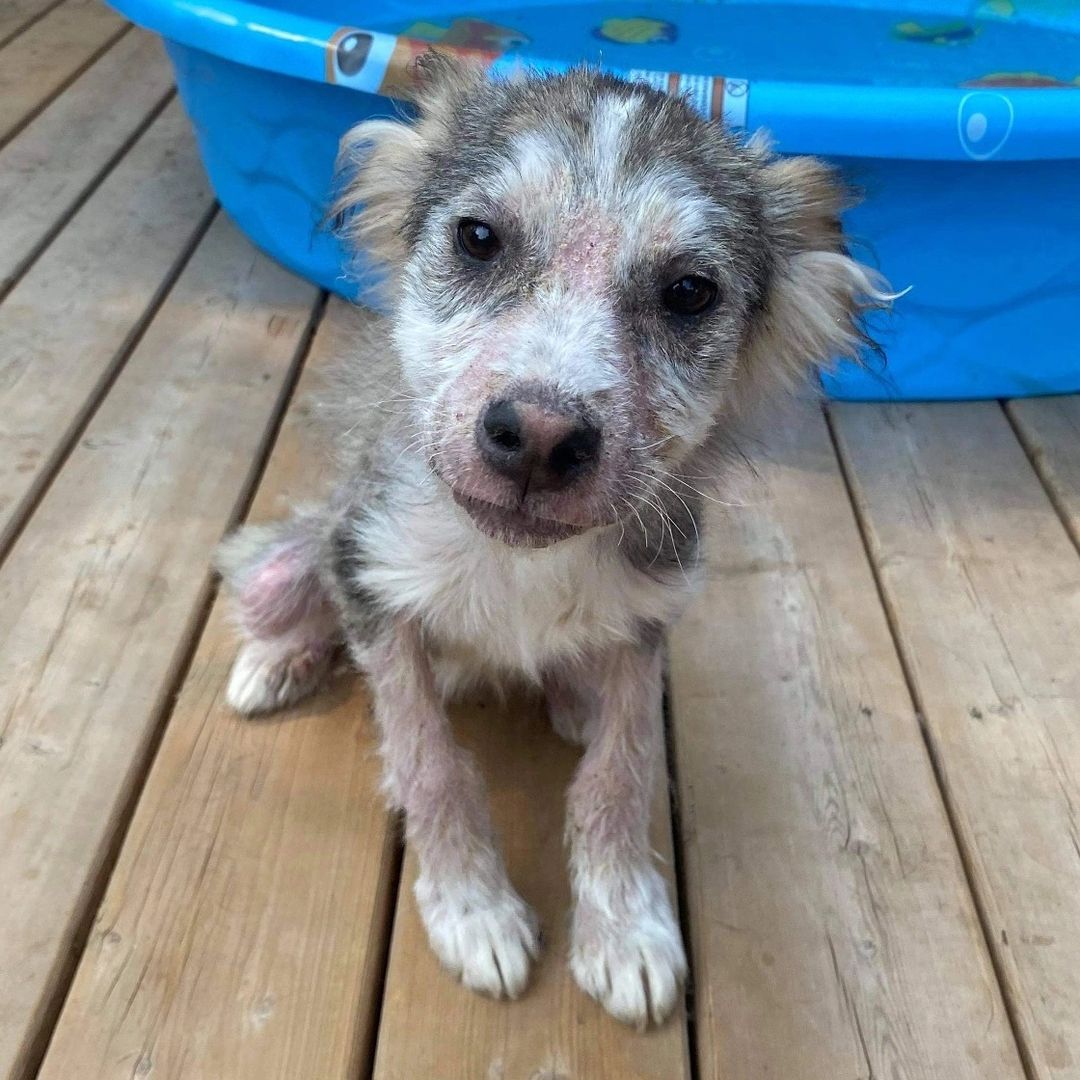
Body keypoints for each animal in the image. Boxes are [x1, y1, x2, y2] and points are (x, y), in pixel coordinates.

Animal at [212, 59, 885, 1028]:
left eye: (690, 292)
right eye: (478, 238)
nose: (537, 438)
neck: (514, 564)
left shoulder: (645, 622)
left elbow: (621, 772)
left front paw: (625, 928)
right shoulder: (372, 580)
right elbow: (428, 761)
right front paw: (471, 910)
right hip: (291, 559)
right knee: (280, 603)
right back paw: (275, 663)